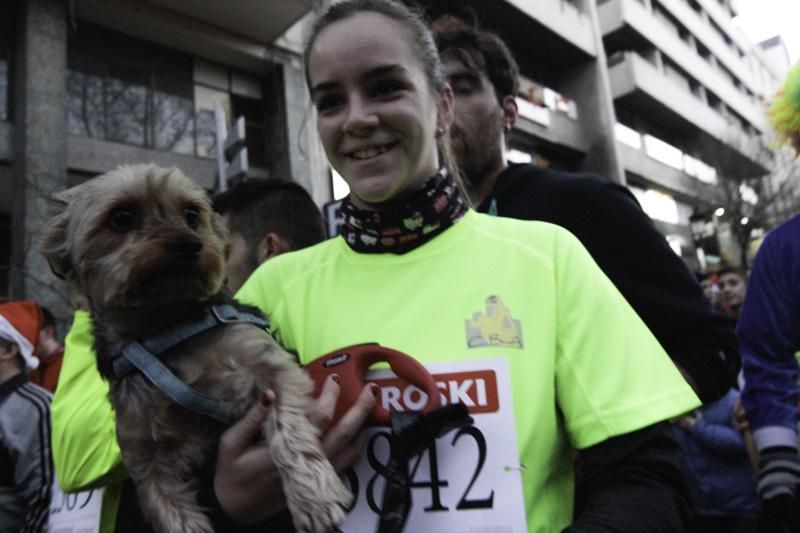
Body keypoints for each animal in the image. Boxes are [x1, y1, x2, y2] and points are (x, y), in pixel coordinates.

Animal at [39, 165, 348, 532]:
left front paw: (314, 500)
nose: (188, 244)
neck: (163, 332)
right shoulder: (144, 454)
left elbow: (291, 433)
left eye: (191, 213)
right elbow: (169, 507)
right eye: (121, 217)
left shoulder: (271, 367)